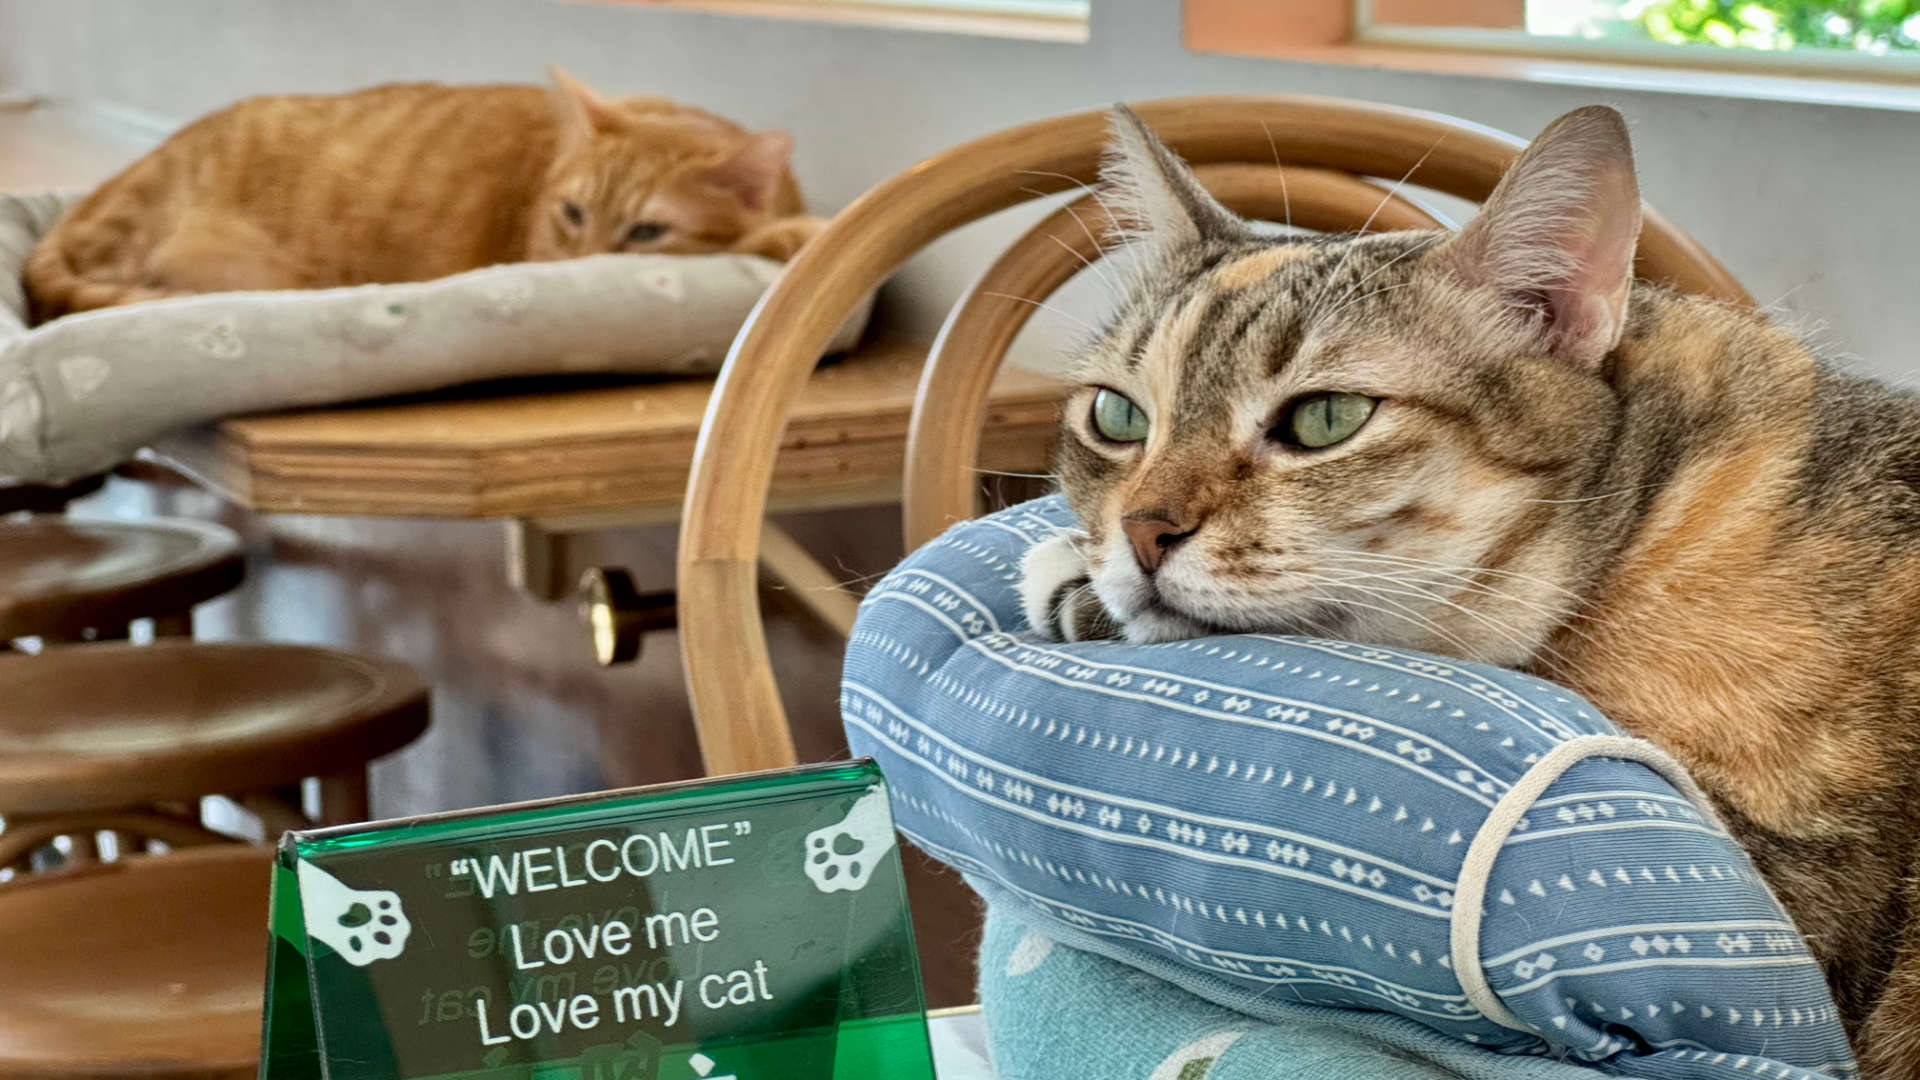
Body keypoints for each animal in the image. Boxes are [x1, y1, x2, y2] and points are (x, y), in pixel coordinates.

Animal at [1029, 105, 1920, 1068]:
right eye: (1117, 415)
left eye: (1325, 419)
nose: (1141, 530)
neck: (1655, 491)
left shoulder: (1791, 914)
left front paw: (1071, 583)